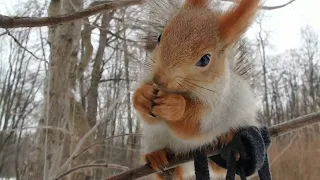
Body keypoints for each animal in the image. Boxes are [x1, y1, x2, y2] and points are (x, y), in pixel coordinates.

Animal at [132, 0, 260, 179]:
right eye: (159, 37)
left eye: (205, 59)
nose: (159, 79)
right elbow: (148, 117)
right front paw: (142, 96)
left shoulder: (217, 108)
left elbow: (192, 127)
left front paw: (176, 107)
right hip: (153, 138)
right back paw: (159, 157)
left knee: (219, 167)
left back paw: (227, 143)